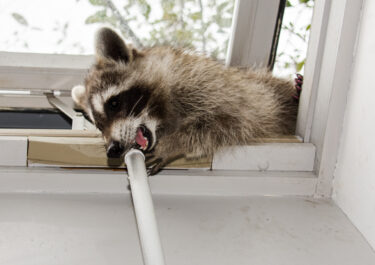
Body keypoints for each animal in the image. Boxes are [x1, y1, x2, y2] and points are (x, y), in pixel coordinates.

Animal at [72, 27, 300, 174]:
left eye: (114, 104)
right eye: (99, 125)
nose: (113, 149)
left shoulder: (211, 86)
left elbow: (224, 122)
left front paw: (174, 143)